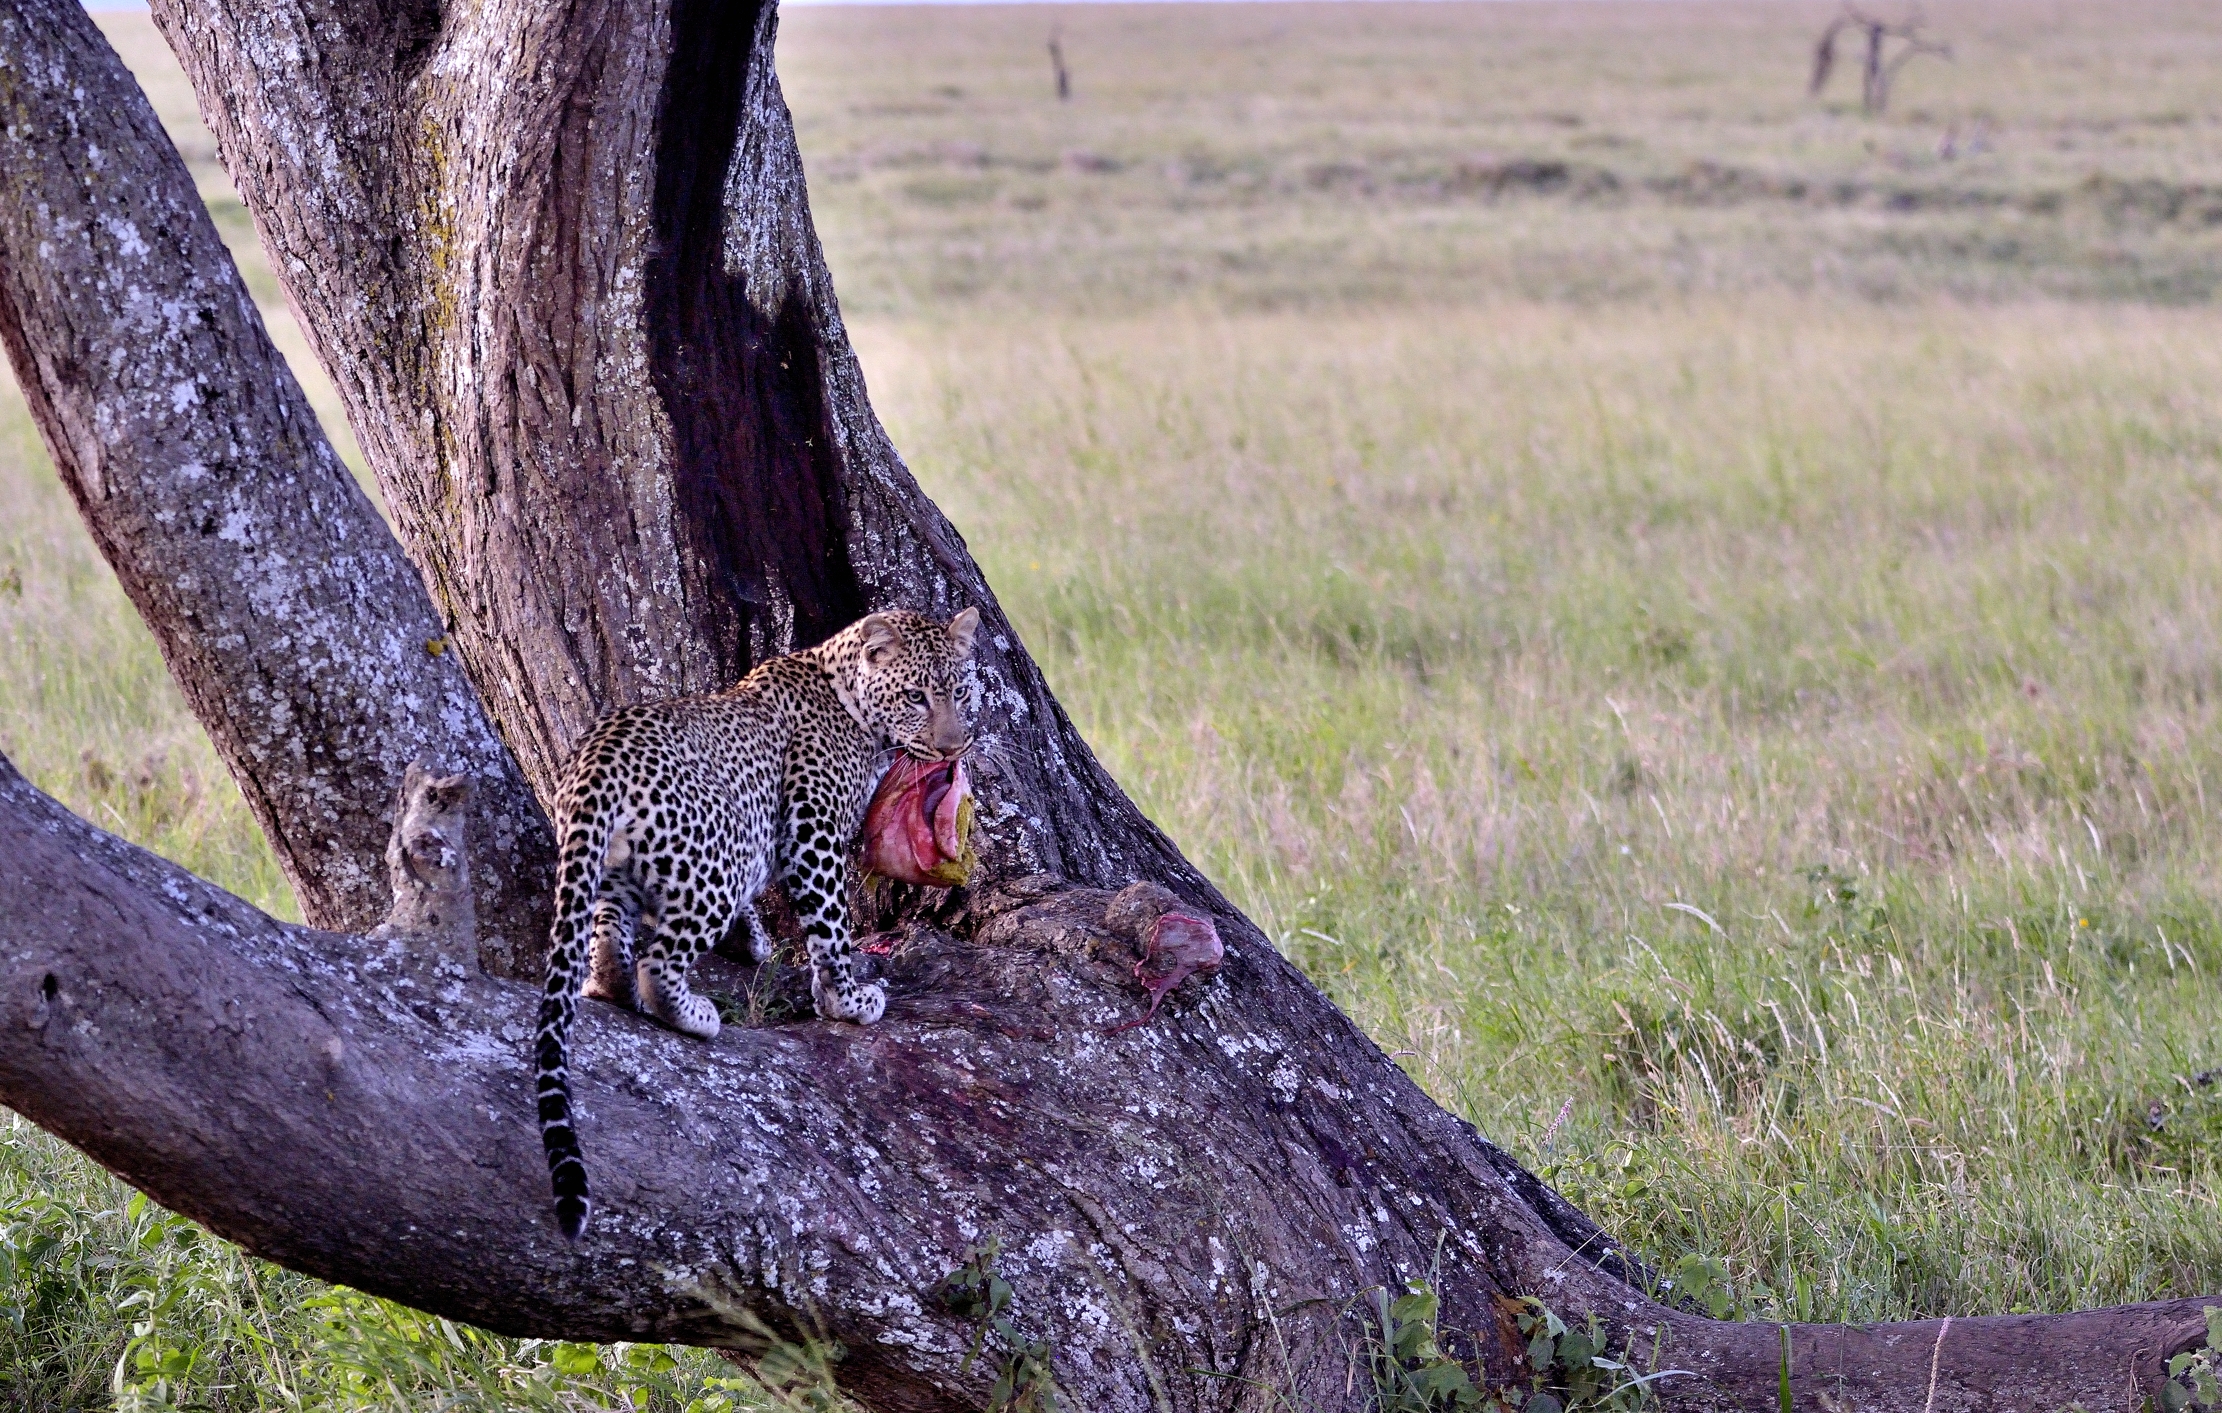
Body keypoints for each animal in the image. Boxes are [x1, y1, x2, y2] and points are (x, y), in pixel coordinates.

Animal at [535, 606, 980, 1239]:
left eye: (960, 692)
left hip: (611, 869)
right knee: (658, 960)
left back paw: (615, 985)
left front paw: (760, 945)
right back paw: (693, 1015)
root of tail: (601, 755)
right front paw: (847, 999)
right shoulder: (813, 832)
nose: (953, 745)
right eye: (916, 696)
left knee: (606, 940)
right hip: (715, 863)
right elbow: (830, 924)